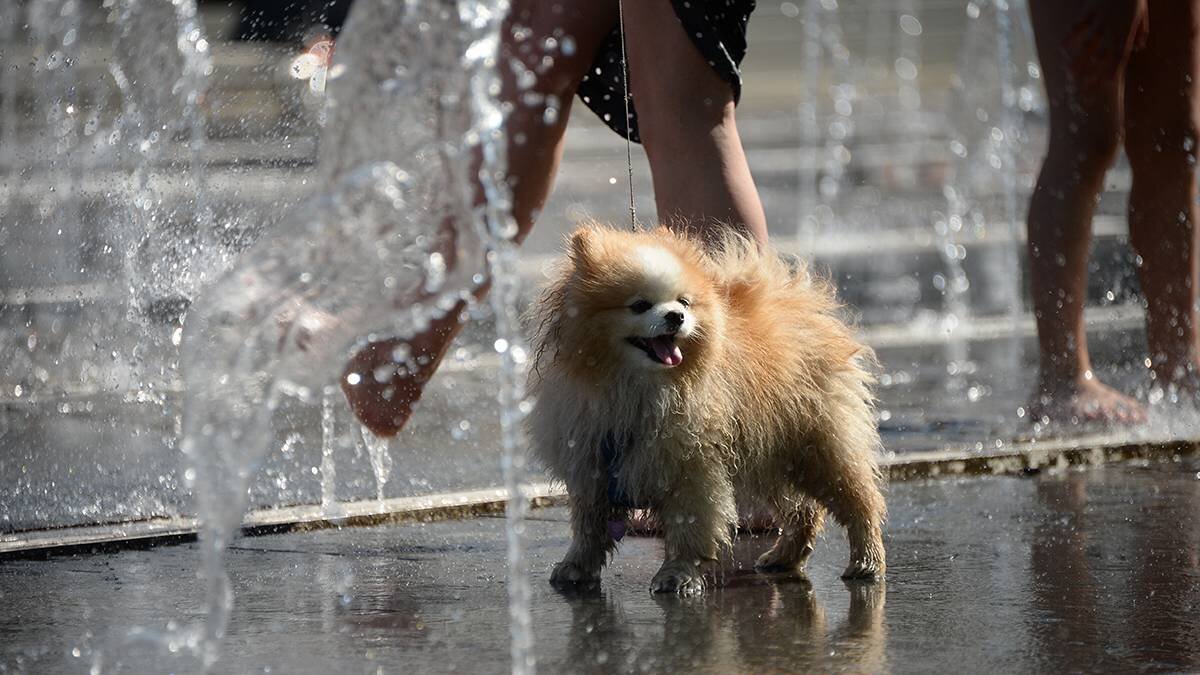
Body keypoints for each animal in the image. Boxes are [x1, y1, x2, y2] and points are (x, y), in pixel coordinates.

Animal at [530, 223, 888, 590]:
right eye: (640, 305)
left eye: (683, 302)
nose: (676, 316)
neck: (639, 387)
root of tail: (798, 300)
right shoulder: (593, 464)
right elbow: (589, 526)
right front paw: (577, 566)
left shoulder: (690, 465)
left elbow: (691, 524)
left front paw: (678, 574)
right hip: (774, 453)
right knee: (804, 510)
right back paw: (784, 557)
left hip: (817, 445)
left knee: (861, 501)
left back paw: (867, 561)